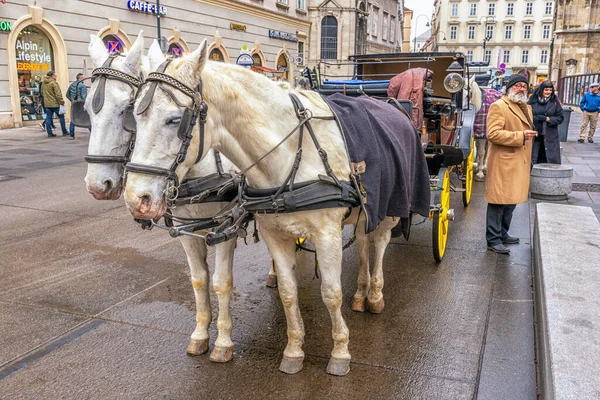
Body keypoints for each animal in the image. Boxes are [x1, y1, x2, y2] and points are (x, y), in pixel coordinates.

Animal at [124, 39, 428, 374]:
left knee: (381, 243)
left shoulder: (327, 235)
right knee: (363, 242)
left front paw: (340, 352)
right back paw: (361, 293)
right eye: (133, 117)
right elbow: (287, 292)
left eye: (175, 120)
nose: (136, 199)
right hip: (364, 210)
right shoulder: (274, 234)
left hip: (390, 208)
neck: (290, 154)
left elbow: (331, 293)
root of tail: (392, 105)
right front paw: (294, 350)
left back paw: (374, 294)